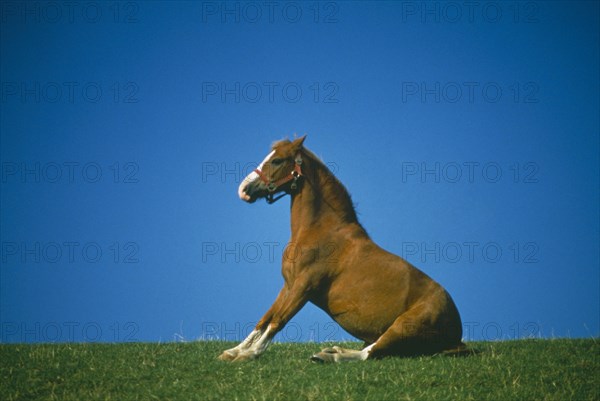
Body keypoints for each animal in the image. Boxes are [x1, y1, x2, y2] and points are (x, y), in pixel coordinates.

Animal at [218, 136, 466, 360]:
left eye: (277, 160)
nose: (243, 189)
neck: (320, 232)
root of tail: (457, 335)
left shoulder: (303, 287)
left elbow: (278, 320)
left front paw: (249, 354)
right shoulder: (288, 285)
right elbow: (264, 319)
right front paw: (234, 351)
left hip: (403, 326)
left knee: (369, 353)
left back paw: (332, 356)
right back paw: (331, 351)